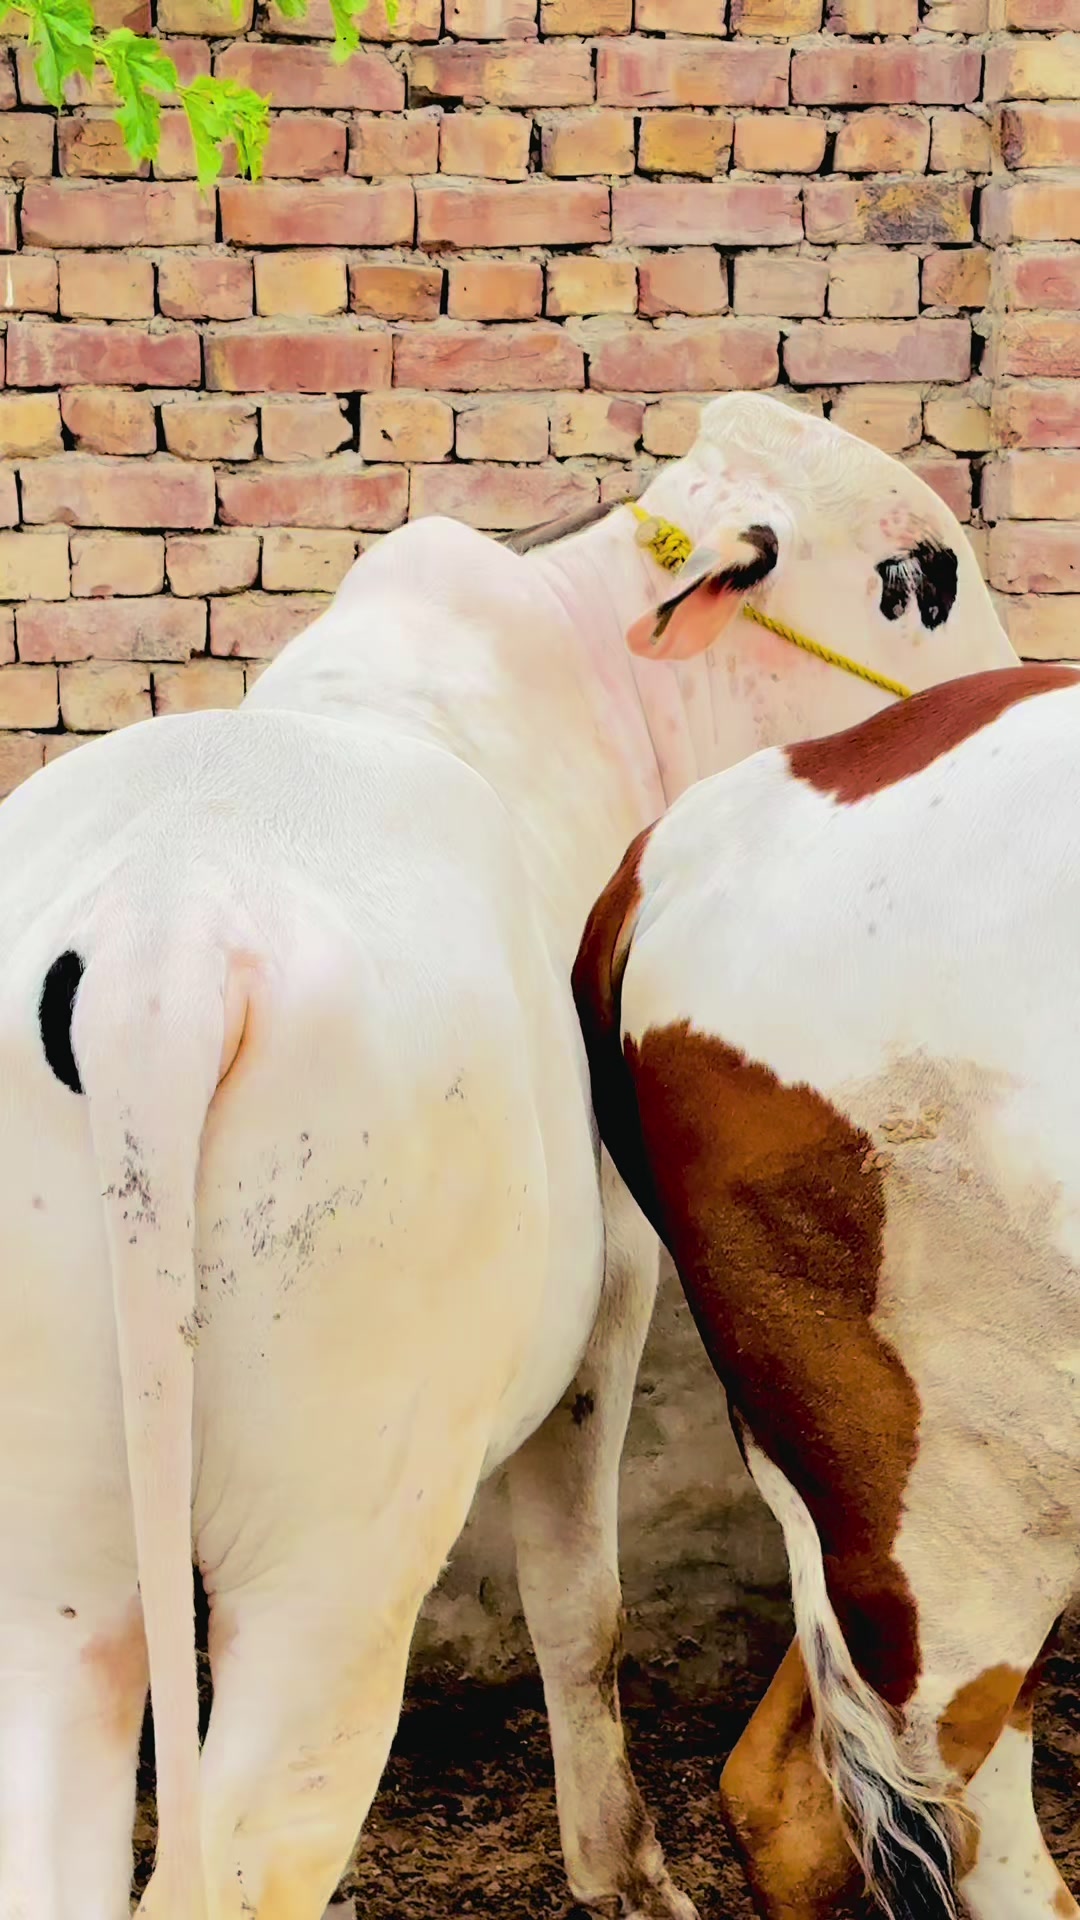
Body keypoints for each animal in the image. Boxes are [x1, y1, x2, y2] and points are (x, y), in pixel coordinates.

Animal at [0, 392, 1015, 1920]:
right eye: (920, 574)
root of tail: (156, 941)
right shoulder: (610, 1304)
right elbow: (580, 1605)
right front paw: (627, 1872)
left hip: (57, 1570)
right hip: (330, 1570)